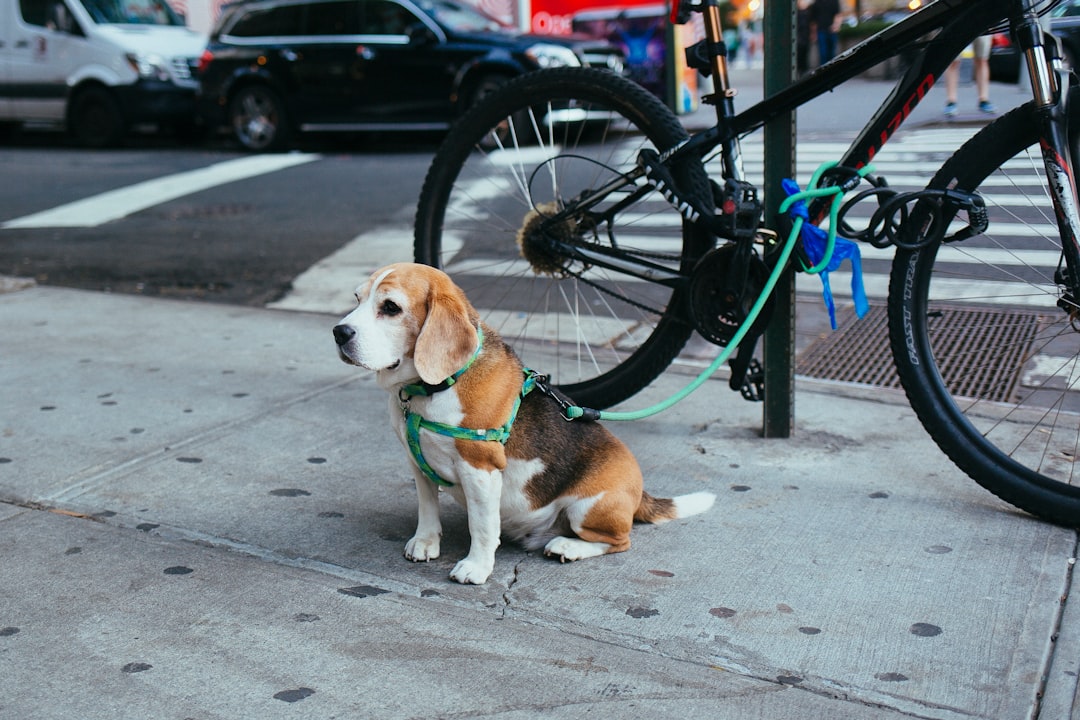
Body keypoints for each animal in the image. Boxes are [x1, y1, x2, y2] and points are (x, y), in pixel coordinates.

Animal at [332, 264, 712, 587]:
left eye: (391, 307)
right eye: (357, 298)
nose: (339, 332)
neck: (433, 388)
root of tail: (639, 491)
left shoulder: (480, 469)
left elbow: (483, 526)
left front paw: (476, 567)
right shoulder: (417, 462)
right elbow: (428, 507)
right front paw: (426, 542)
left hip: (588, 508)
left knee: (621, 541)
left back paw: (568, 547)